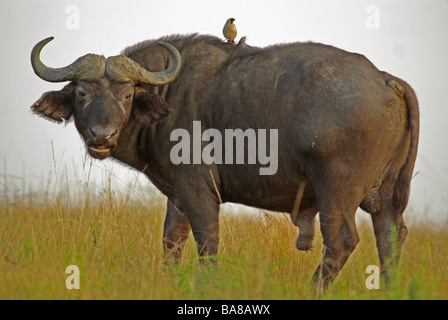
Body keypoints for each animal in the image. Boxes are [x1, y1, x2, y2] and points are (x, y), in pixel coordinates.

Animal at [29, 34, 418, 288]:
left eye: (126, 95)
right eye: (82, 93)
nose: (102, 135)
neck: (168, 95)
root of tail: (385, 80)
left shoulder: (198, 191)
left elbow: (207, 242)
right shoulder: (177, 195)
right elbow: (172, 242)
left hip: (336, 192)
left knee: (341, 241)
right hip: (386, 199)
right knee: (391, 239)